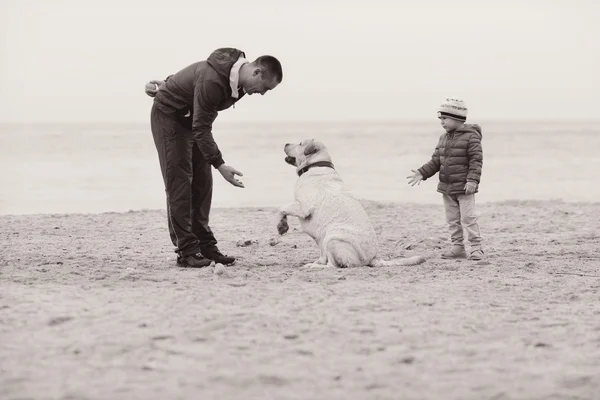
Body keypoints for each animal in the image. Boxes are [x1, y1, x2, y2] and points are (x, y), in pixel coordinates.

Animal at [278, 138, 426, 268]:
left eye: (300, 143)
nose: (285, 143)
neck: (316, 165)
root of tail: (373, 258)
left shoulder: (304, 207)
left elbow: (282, 208)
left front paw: (281, 226)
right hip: (325, 239)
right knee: (325, 257)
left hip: (332, 238)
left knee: (333, 266)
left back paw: (315, 266)